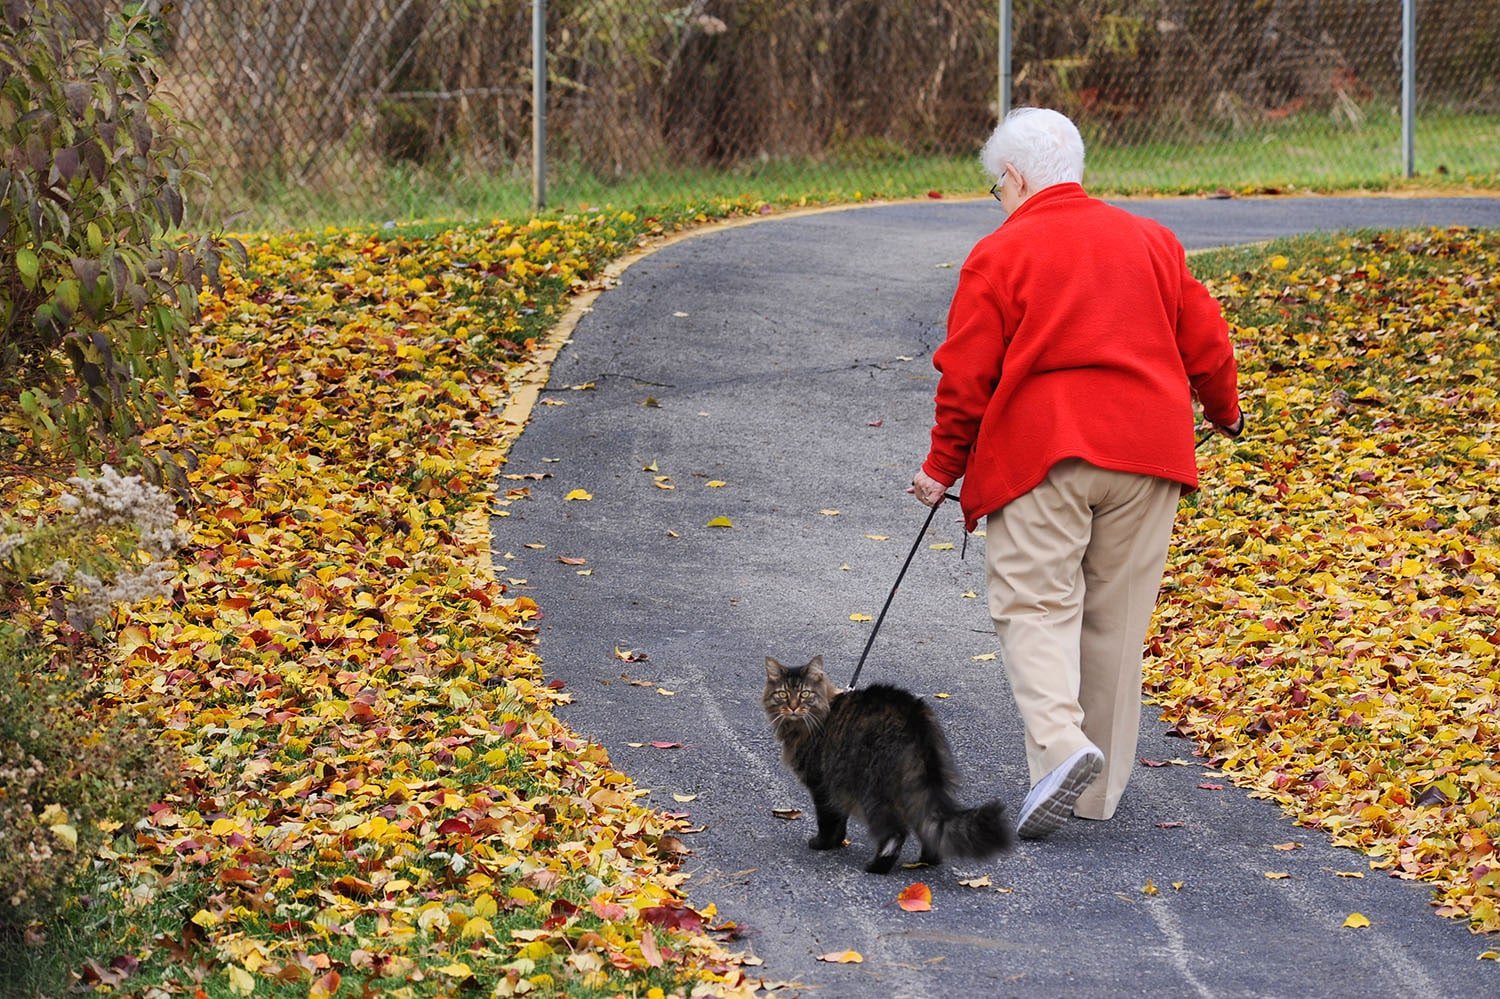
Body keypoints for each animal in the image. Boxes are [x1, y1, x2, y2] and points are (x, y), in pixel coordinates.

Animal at [768, 651, 1014, 870]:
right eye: (782, 694)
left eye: (804, 694)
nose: (792, 707)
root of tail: (914, 719)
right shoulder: (837, 782)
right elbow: (840, 819)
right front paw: (837, 843)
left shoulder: (821, 784)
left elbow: (828, 820)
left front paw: (823, 844)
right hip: (917, 786)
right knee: (927, 826)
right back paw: (926, 862)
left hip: (873, 790)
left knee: (895, 833)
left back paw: (877, 867)